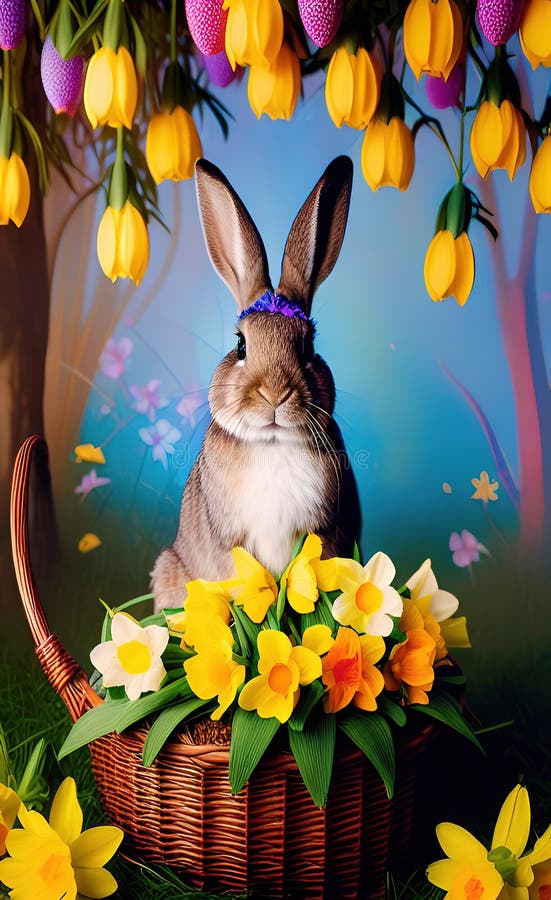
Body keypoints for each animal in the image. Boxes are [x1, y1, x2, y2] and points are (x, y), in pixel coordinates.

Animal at [152, 155, 361, 611]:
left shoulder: (321, 537)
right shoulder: (232, 543)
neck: (271, 443)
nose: (274, 394)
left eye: (309, 345)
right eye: (240, 344)